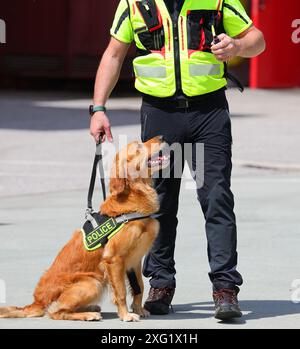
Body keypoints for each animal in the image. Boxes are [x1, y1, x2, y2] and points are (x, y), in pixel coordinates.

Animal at [0, 135, 169, 320]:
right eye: (138, 146)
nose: (161, 137)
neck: (131, 204)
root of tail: (37, 302)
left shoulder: (134, 261)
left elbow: (139, 287)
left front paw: (138, 309)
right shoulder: (114, 259)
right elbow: (121, 292)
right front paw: (126, 315)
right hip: (92, 282)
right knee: (56, 312)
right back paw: (88, 314)